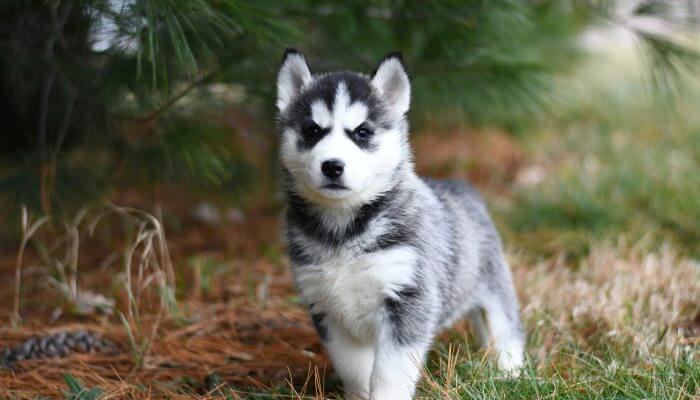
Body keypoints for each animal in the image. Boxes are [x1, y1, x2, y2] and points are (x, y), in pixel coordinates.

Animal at [276, 50, 524, 400]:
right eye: (312, 131)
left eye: (362, 132)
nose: (332, 166)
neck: (343, 229)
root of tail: (460, 186)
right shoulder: (327, 310)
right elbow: (354, 369)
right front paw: (359, 395)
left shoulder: (408, 300)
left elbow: (389, 372)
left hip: (494, 286)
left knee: (506, 328)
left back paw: (509, 372)